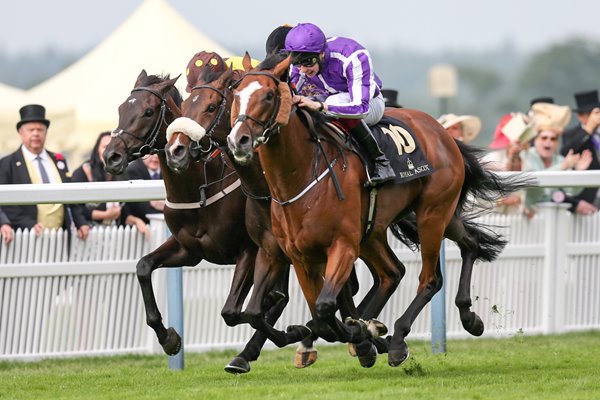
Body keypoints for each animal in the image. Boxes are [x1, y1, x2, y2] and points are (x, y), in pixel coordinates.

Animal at [103, 70, 296, 374]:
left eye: (148, 111)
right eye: (122, 109)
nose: (111, 156)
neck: (199, 188)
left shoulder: (250, 250)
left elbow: (232, 311)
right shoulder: (188, 250)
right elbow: (143, 266)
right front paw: (169, 338)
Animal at [227, 54, 528, 368]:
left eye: (269, 95)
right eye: (235, 95)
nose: (238, 140)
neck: (299, 179)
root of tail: (440, 131)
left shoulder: (342, 246)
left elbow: (325, 307)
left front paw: (361, 334)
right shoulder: (295, 255)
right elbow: (294, 316)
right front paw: (351, 333)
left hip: (431, 215)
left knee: (430, 279)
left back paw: (397, 339)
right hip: (404, 223)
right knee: (453, 249)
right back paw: (468, 317)